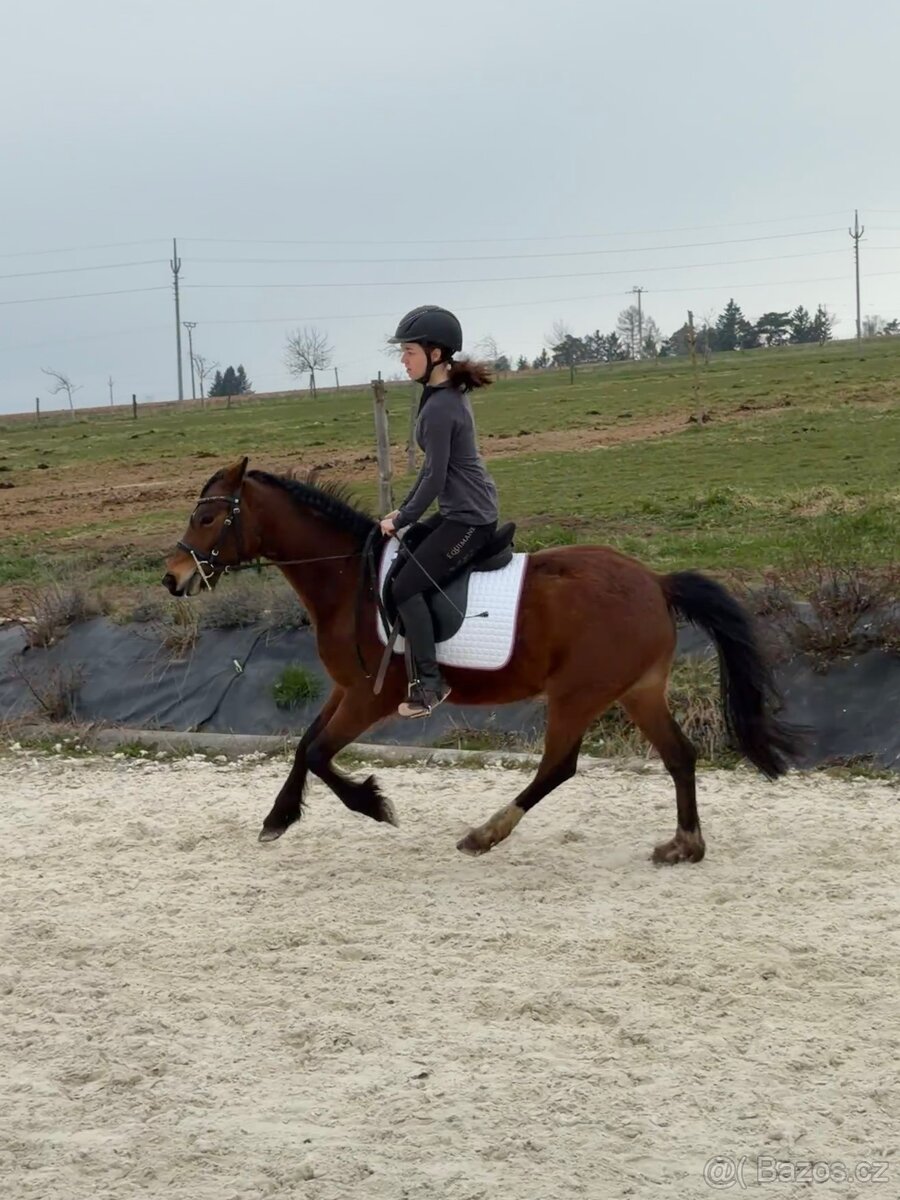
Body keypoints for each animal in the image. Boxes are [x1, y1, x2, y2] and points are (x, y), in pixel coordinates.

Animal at [162, 457, 802, 861]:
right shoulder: (346, 688)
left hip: (578, 694)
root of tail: (656, 581)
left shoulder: (370, 698)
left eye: (208, 517)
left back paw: (485, 834)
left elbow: (320, 753)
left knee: (558, 767)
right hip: (637, 690)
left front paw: (374, 804)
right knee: (679, 756)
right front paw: (277, 819)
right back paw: (684, 845)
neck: (349, 579)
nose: (172, 578)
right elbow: (302, 745)